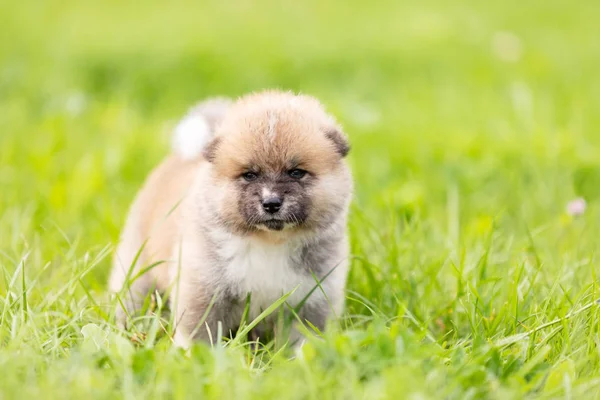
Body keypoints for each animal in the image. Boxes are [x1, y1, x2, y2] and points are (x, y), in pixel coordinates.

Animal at [109, 90, 352, 346]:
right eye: (249, 175)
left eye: (296, 172)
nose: (271, 203)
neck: (269, 242)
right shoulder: (203, 288)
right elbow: (198, 332)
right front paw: (191, 352)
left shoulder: (312, 298)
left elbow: (305, 339)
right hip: (136, 270)